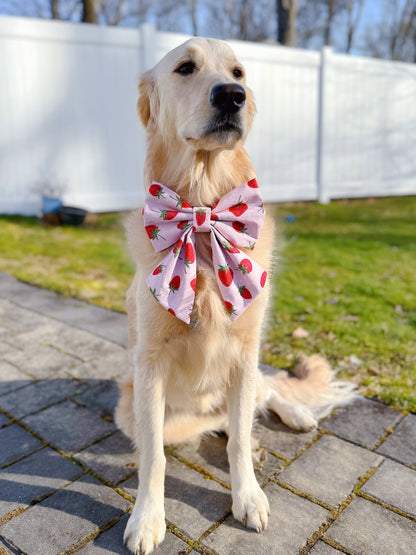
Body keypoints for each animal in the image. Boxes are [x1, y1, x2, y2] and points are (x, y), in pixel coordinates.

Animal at [114, 37, 354, 552]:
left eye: (238, 73)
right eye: (185, 68)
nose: (231, 96)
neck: (204, 211)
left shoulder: (245, 352)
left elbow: (242, 437)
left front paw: (249, 496)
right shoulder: (149, 365)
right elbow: (155, 456)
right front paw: (147, 518)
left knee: (265, 395)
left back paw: (297, 415)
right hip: (131, 404)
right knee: (207, 424)